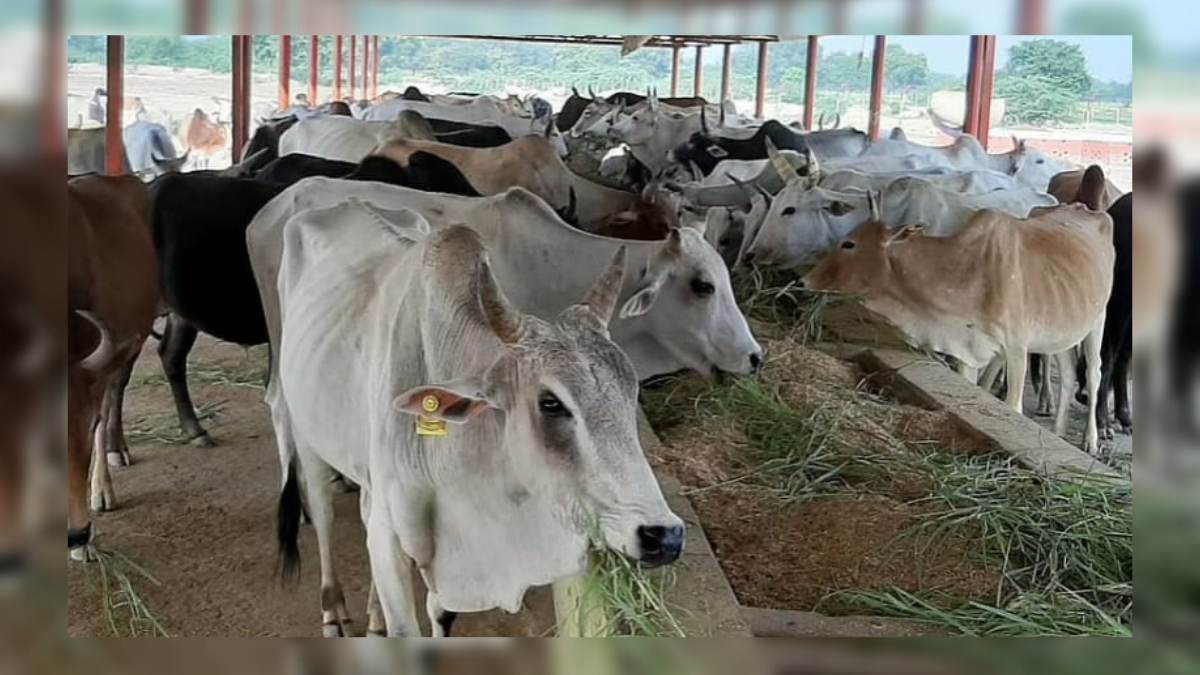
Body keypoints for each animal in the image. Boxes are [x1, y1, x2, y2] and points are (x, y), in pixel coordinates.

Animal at [258, 215, 684, 636]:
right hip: (305, 433)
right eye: (550, 403)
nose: (664, 535)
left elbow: (441, 614)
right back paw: (334, 610)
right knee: (322, 513)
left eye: (631, 389)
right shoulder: (390, 534)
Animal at [802, 194, 1114, 454]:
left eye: (849, 243)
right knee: (1069, 374)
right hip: (1061, 331)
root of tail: (1085, 208)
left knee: (1093, 374)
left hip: (1098, 321)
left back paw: (1091, 440)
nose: (804, 280)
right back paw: (1059, 432)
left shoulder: (1016, 350)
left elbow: (1013, 406)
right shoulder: (968, 350)